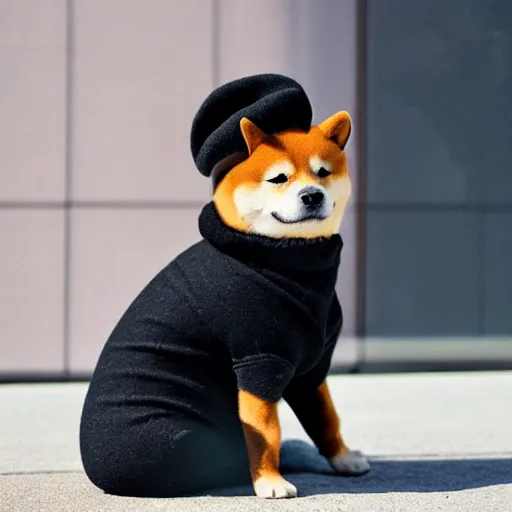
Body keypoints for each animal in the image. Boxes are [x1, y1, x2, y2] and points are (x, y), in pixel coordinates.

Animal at [79, 74, 368, 502]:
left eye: (323, 172)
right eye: (279, 178)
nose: (312, 195)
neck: (276, 254)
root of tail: (92, 468)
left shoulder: (310, 367)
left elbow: (325, 417)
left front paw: (342, 458)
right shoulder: (259, 361)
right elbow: (264, 432)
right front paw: (269, 481)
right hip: (175, 438)